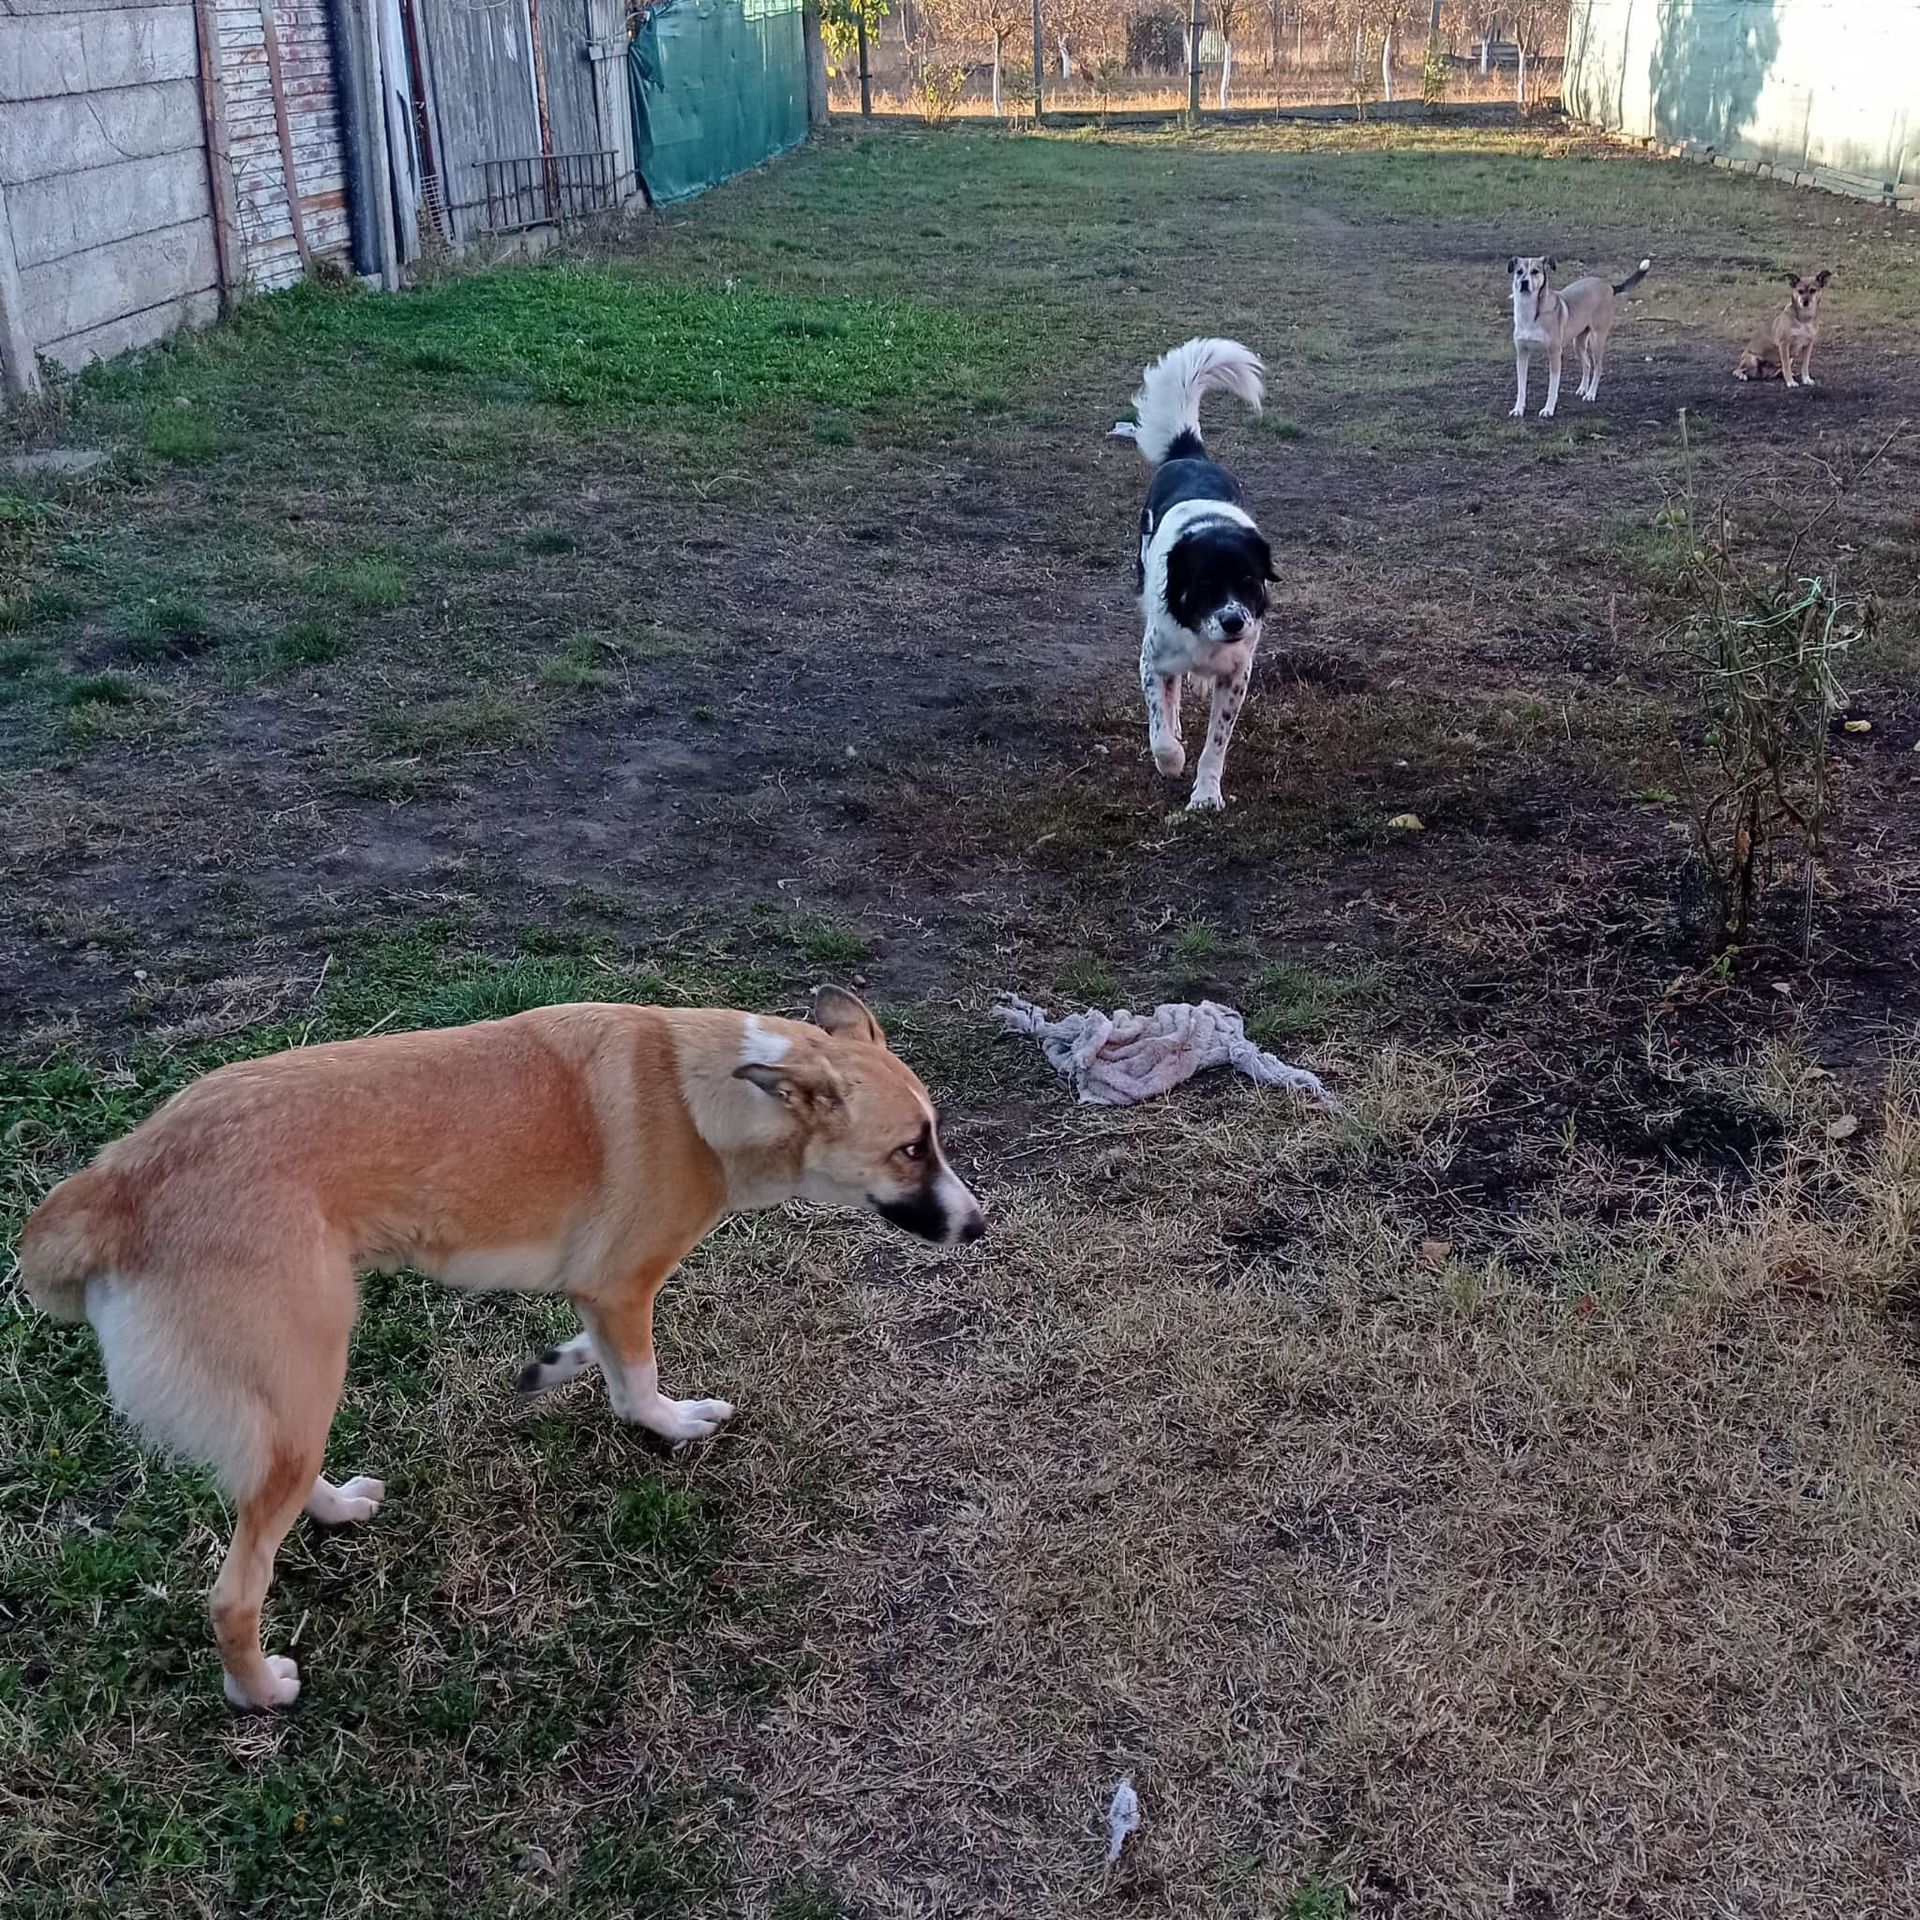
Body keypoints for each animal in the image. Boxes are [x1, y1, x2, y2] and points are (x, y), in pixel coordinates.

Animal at [17, 986, 983, 1710]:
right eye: (910, 1149)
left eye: (932, 1137)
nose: (979, 1226)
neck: (711, 1096)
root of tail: (116, 1181)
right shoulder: (625, 1284)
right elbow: (639, 1387)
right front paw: (675, 1425)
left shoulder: (600, 1289)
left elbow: (603, 1358)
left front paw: (554, 1367)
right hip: (309, 1368)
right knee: (233, 1589)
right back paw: (259, 1690)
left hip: (293, 1400)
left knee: (275, 1483)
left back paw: (339, 1509)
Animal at [1111, 337, 1274, 812]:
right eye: (1204, 585)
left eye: (1248, 581)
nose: (1234, 621)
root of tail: (1190, 453)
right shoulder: (1152, 661)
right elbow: (1160, 729)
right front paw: (1172, 760)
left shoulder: (1237, 675)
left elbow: (1216, 743)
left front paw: (1205, 794)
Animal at [1508, 255, 1652, 418]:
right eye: (1519, 271)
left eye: (1535, 271)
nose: (1524, 283)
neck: (1531, 314)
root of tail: (1609, 286)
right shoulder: (1522, 354)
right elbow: (1521, 387)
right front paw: (1518, 409)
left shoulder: (1554, 354)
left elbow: (1552, 387)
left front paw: (1548, 410)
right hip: (1579, 343)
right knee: (1587, 364)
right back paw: (1583, 389)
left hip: (1597, 340)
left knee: (1598, 367)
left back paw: (1590, 394)